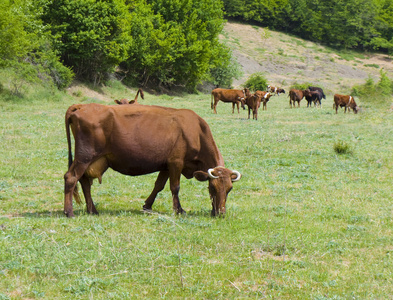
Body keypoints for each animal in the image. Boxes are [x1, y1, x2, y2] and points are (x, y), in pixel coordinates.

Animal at [63, 103, 240, 218]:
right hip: (85, 156)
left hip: (90, 160)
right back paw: (69, 212)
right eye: (212, 188)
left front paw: (147, 205)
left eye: (229, 189)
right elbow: (175, 187)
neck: (196, 131)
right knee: (71, 178)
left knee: (84, 182)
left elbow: (158, 185)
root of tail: (82, 105)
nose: (221, 213)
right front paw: (179, 210)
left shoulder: (166, 165)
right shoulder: (176, 162)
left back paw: (92, 210)